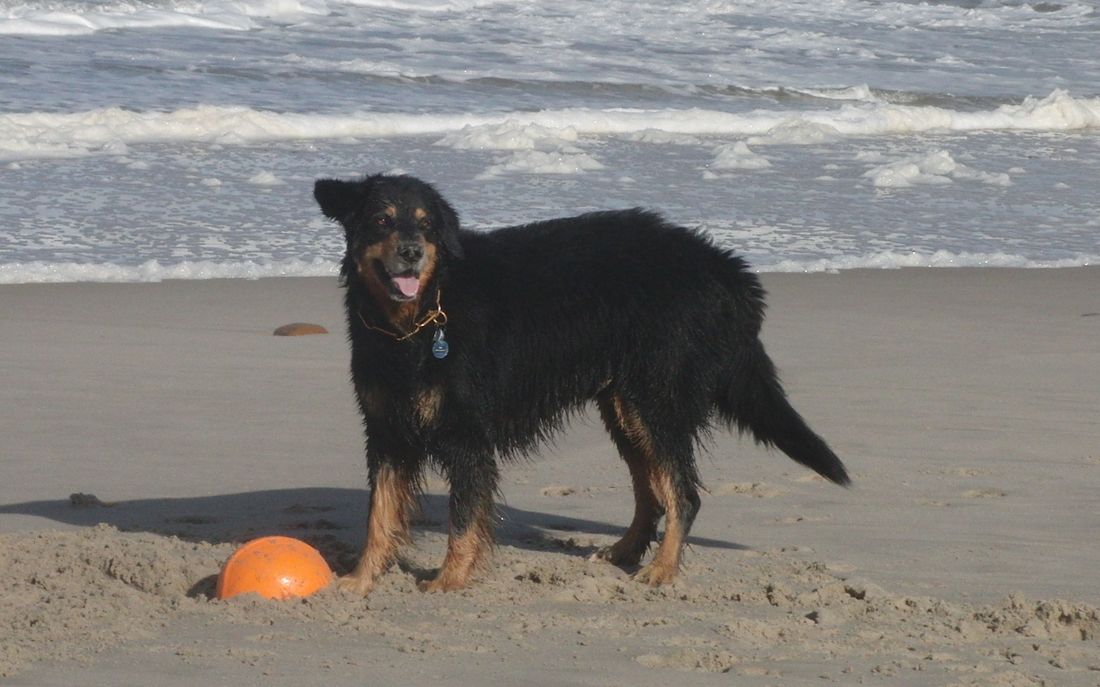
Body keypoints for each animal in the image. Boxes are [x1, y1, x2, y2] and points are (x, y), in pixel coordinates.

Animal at [313, 173, 850, 596]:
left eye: (426, 225)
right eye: (383, 220)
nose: (412, 252)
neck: (420, 318)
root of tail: (728, 268)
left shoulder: (465, 435)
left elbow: (462, 519)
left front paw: (448, 581)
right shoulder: (386, 431)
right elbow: (379, 517)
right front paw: (360, 580)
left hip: (656, 400)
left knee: (682, 493)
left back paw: (662, 570)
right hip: (626, 408)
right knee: (652, 493)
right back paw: (622, 553)